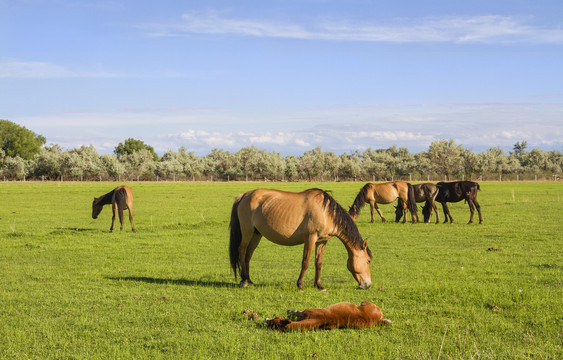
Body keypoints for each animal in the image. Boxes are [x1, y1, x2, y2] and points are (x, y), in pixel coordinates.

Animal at [229, 190, 374, 292]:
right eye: (368, 261)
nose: (368, 285)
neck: (326, 212)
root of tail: (244, 196)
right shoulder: (310, 238)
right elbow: (305, 262)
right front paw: (300, 285)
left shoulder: (322, 241)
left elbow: (318, 263)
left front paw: (319, 286)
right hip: (247, 231)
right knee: (242, 251)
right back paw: (244, 281)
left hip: (256, 234)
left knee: (248, 255)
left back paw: (249, 280)